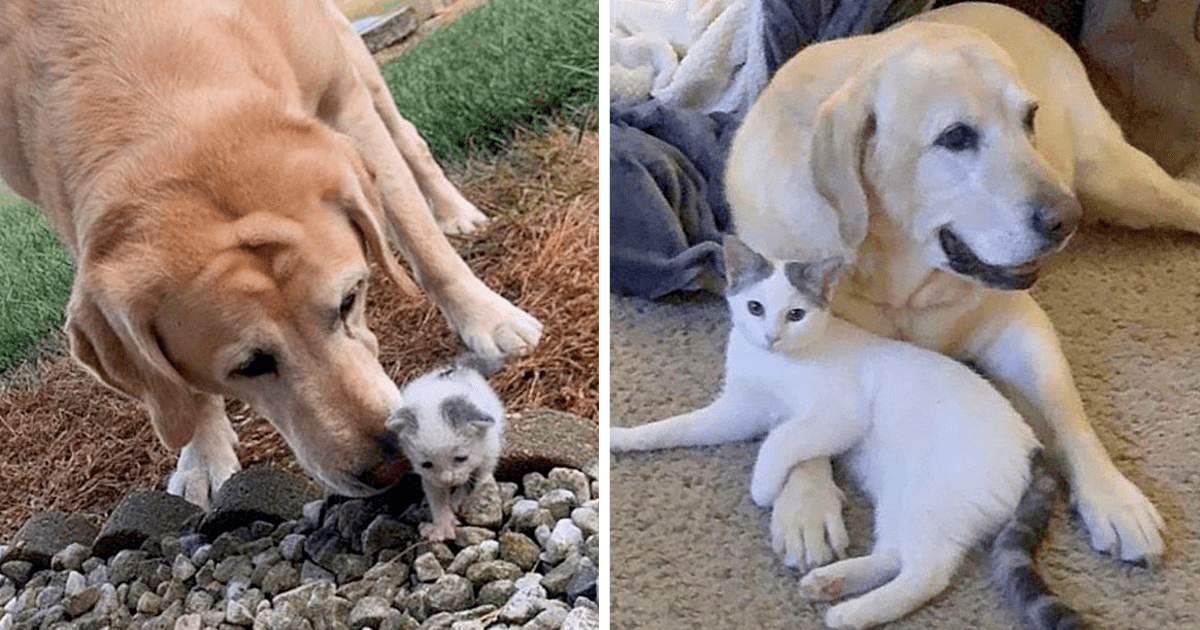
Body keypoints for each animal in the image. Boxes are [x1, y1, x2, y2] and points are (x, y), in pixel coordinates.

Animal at [0, 0, 542, 506]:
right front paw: (202, 452)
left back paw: (456, 213)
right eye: (249, 366)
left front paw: (490, 318)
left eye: (349, 301)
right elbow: (172, 385)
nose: (392, 465)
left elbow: (416, 232)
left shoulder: (344, 101)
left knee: (409, 141)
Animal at [386, 352, 504, 540]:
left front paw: (479, 491)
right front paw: (442, 527)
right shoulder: (430, 478)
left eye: (461, 458)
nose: (447, 479)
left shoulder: (490, 444)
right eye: (426, 464)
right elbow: (437, 497)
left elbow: (483, 472)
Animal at [724, 2, 1195, 566]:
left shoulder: (1019, 324)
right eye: (956, 137)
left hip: (1123, 183)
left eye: (1028, 119)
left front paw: (1112, 495)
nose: (1067, 219)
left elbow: (1067, 411)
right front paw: (806, 504)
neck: (901, 276)